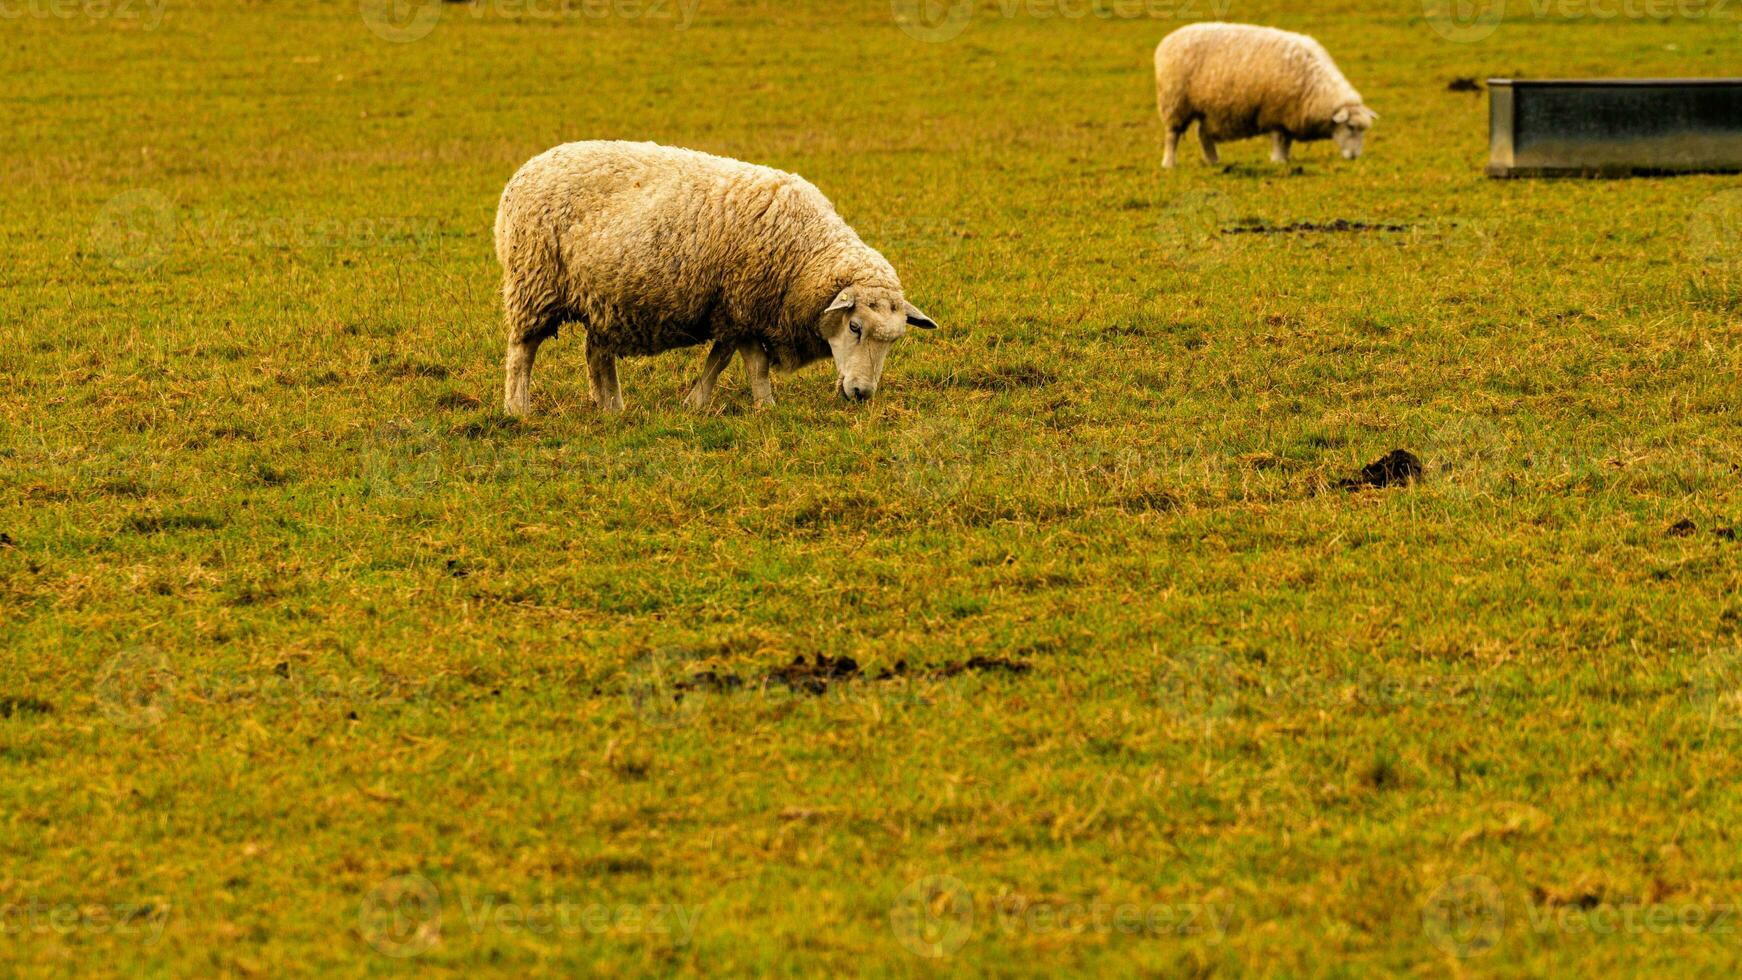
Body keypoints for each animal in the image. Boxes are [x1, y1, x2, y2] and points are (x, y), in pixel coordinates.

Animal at [491, 140, 940, 416]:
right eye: (854, 326)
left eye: (894, 341)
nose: (862, 394)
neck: (806, 252)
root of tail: (526, 169)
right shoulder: (742, 304)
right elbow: (753, 363)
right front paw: (764, 406)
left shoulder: (730, 309)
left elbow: (720, 359)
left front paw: (696, 401)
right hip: (534, 281)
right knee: (522, 352)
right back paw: (518, 409)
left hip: (604, 296)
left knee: (597, 353)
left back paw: (612, 408)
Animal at [1149, 23, 1379, 168]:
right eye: (1350, 126)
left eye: (1363, 130)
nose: (1355, 157)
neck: (1315, 88)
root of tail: (1168, 39)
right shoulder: (1274, 111)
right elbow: (1278, 138)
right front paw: (1278, 160)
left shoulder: (1289, 114)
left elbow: (1287, 140)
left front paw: (1286, 159)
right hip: (1175, 102)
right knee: (1172, 135)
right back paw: (1169, 164)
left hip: (1208, 108)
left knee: (1203, 134)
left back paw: (1213, 161)